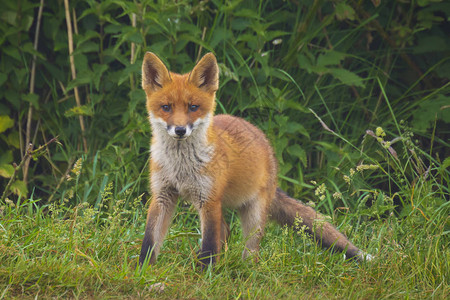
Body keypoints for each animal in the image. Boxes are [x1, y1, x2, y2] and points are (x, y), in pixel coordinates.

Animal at [139, 51, 370, 268]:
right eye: (166, 107)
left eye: (193, 107)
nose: (179, 130)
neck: (181, 167)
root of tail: (262, 138)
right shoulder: (162, 195)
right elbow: (150, 240)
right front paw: (143, 271)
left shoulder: (209, 199)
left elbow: (209, 246)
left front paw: (204, 275)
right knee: (225, 231)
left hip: (252, 216)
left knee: (250, 249)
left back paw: (245, 270)